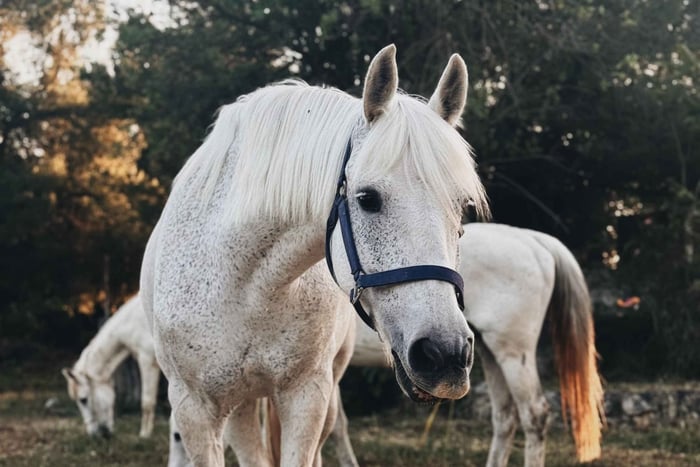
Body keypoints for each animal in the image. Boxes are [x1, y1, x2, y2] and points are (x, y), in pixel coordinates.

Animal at [61, 295, 161, 438]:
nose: (93, 434)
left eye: (83, 400)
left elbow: (147, 401)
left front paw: (145, 434)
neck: (133, 323)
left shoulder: (148, 360)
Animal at [139, 44, 488, 466]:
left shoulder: (307, 397)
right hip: (239, 405)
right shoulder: (194, 408)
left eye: (462, 206)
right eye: (367, 198)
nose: (445, 354)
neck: (246, 285)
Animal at [332, 223, 605, 467]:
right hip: (489, 352)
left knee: (535, 414)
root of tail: (532, 239)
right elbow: (336, 423)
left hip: (513, 354)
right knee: (505, 416)